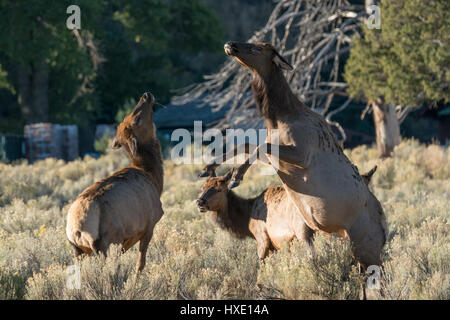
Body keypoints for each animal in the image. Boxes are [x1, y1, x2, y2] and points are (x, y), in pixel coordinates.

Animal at [66, 92, 164, 272]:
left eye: (126, 117)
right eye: (137, 119)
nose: (146, 95)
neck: (155, 179)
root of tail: (76, 228)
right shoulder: (150, 224)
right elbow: (140, 264)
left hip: (78, 250)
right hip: (106, 243)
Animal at [197, 166, 376, 258]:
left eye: (219, 189)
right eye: (203, 187)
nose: (199, 202)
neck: (247, 220)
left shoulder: (262, 239)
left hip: (305, 232)